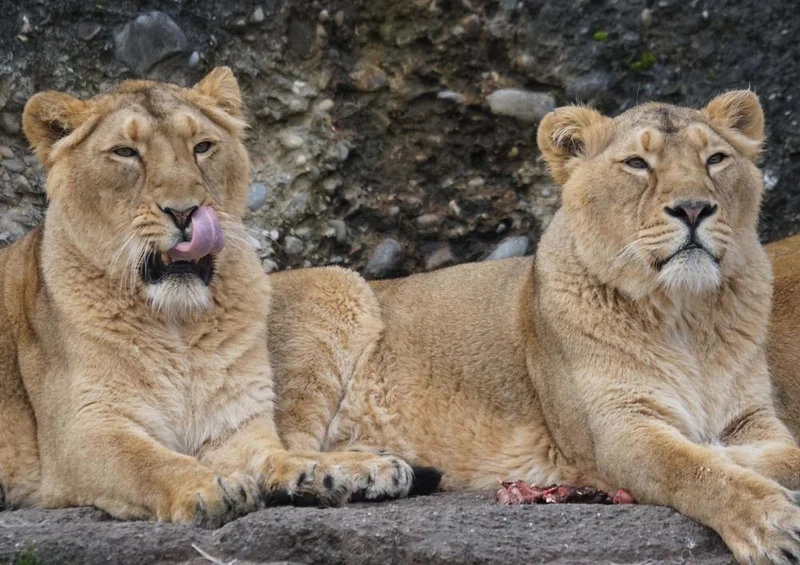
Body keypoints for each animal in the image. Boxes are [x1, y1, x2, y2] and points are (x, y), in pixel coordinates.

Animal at [0, 68, 439, 525]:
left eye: (202, 147)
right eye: (125, 152)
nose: (184, 211)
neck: (177, 324)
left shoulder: (233, 422)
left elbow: (279, 455)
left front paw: (350, 470)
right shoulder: (80, 432)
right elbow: (149, 461)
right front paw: (210, 487)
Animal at [266, 91, 800, 563]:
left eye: (716, 158)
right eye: (636, 164)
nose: (693, 208)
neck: (685, 314)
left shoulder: (752, 418)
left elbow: (782, 455)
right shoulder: (615, 429)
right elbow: (693, 468)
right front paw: (771, 522)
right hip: (335, 288)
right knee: (260, 461)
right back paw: (369, 472)